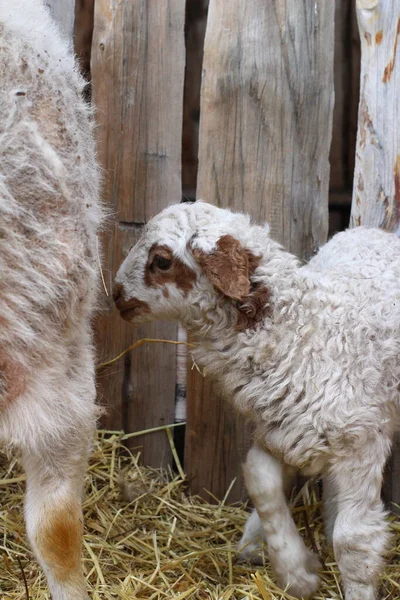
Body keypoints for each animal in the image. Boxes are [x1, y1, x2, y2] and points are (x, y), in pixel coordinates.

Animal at [114, 200, 400, 600]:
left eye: (161, 261)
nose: (116, 295)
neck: (301, 331)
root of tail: (376, 233)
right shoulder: (282, 427)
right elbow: (259, 477)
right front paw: (297, 571)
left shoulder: (361, 442)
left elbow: (354, 540)